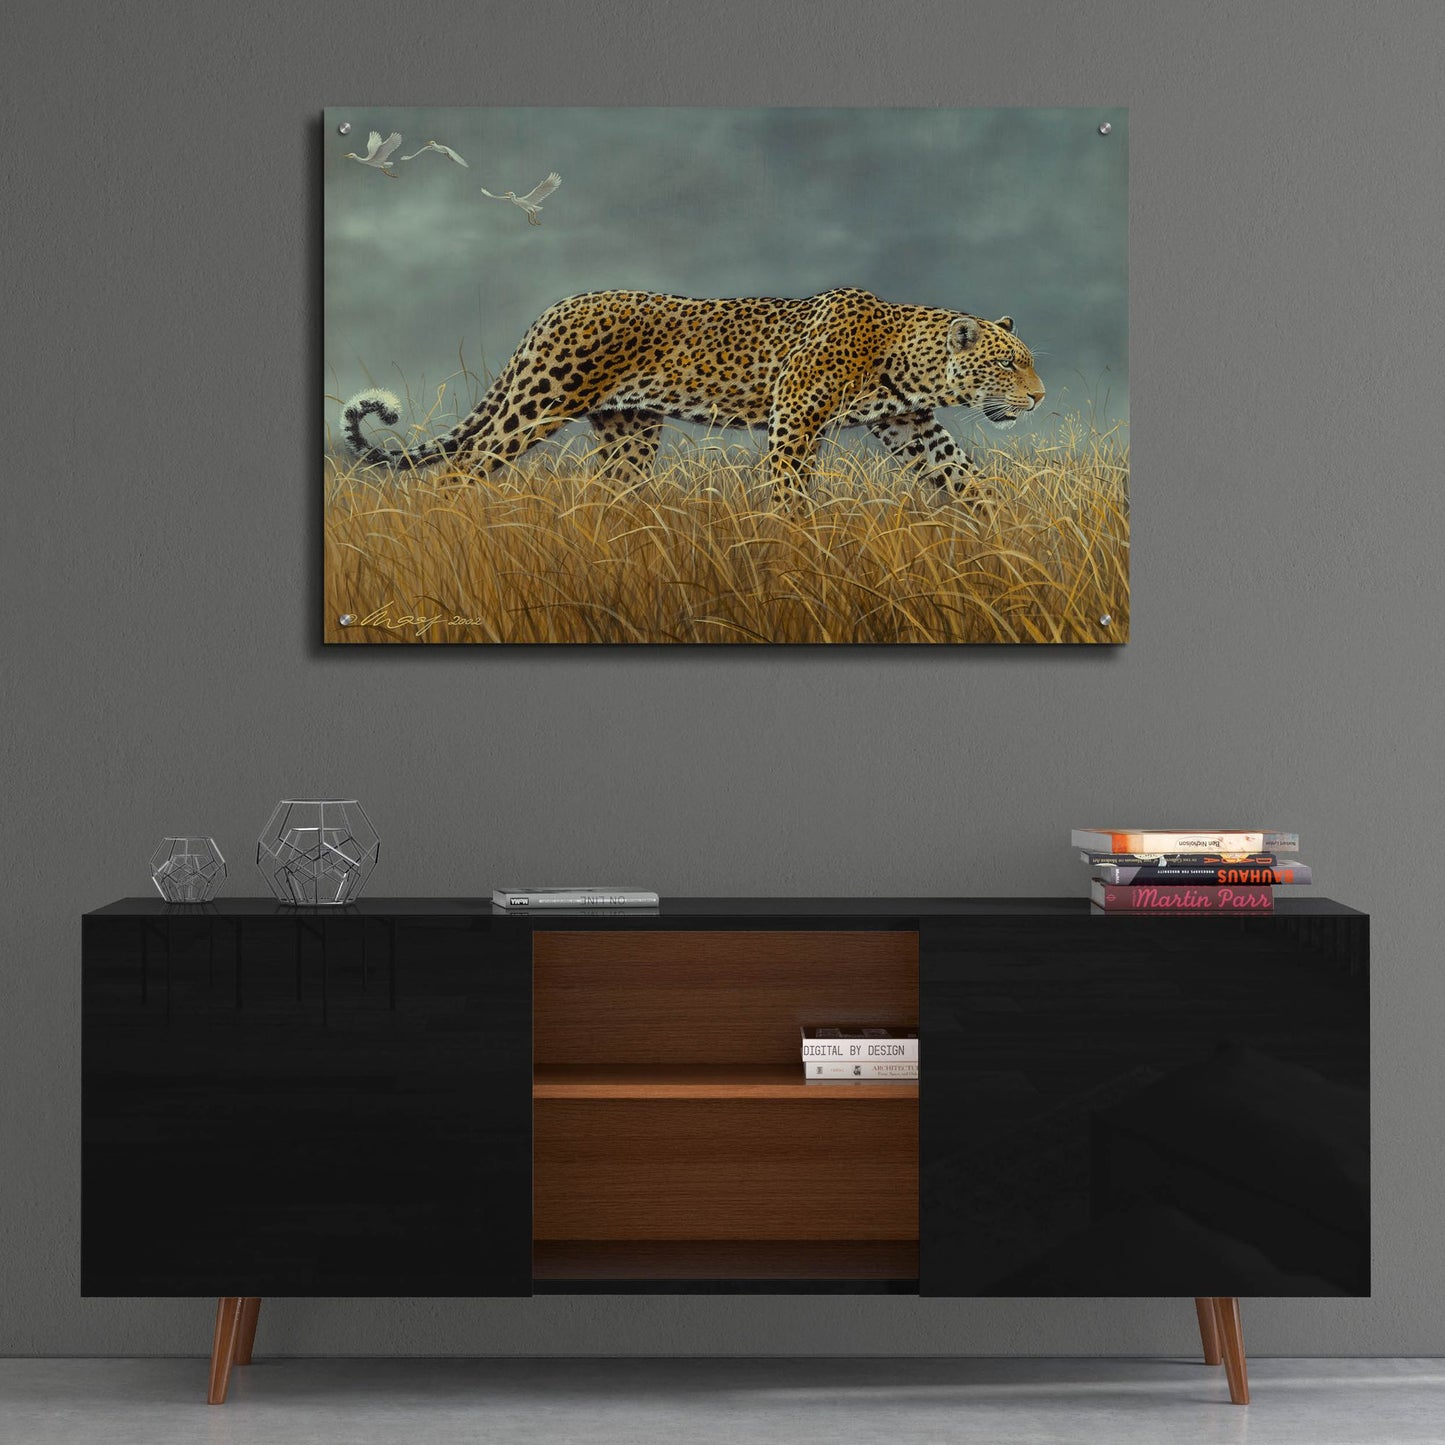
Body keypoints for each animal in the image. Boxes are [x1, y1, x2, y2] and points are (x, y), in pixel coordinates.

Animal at [340, 286, 1044, 504]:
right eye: (1009, 364)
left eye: (1028, 363)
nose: (1038, 399)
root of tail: (554, 308)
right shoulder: (795, 421)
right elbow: (788, 493)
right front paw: (793, 550)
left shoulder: (912, 426)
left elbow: (964, 477)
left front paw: (999, 538)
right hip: (537, 405)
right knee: (463, 465)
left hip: (630, 430)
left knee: (610, 491)